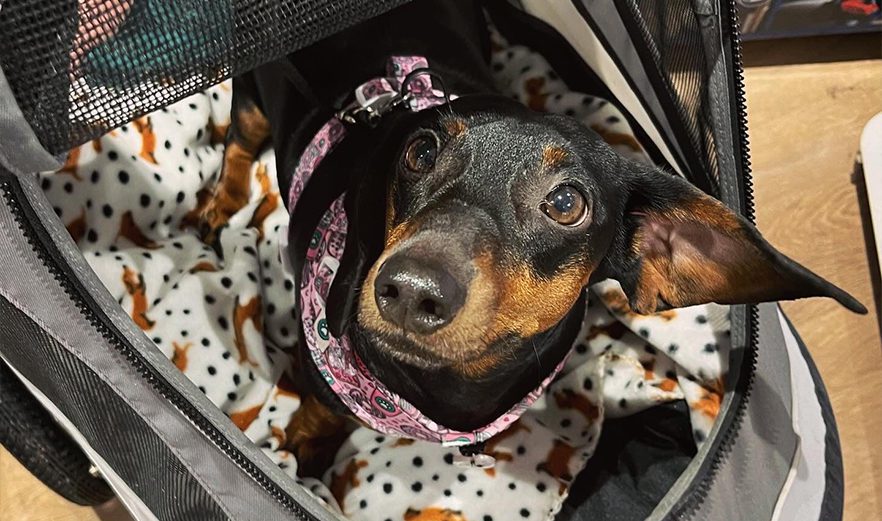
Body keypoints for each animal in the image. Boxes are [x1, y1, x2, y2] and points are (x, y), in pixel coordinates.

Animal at [198, 0, 860, 476]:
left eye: (567, 203)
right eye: (420, 152)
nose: (408, 290)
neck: (452, 389)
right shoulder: (318, 380)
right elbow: (316, 414)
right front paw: (304, 450)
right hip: (253, 97)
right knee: (238, 143)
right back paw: (219, 204)